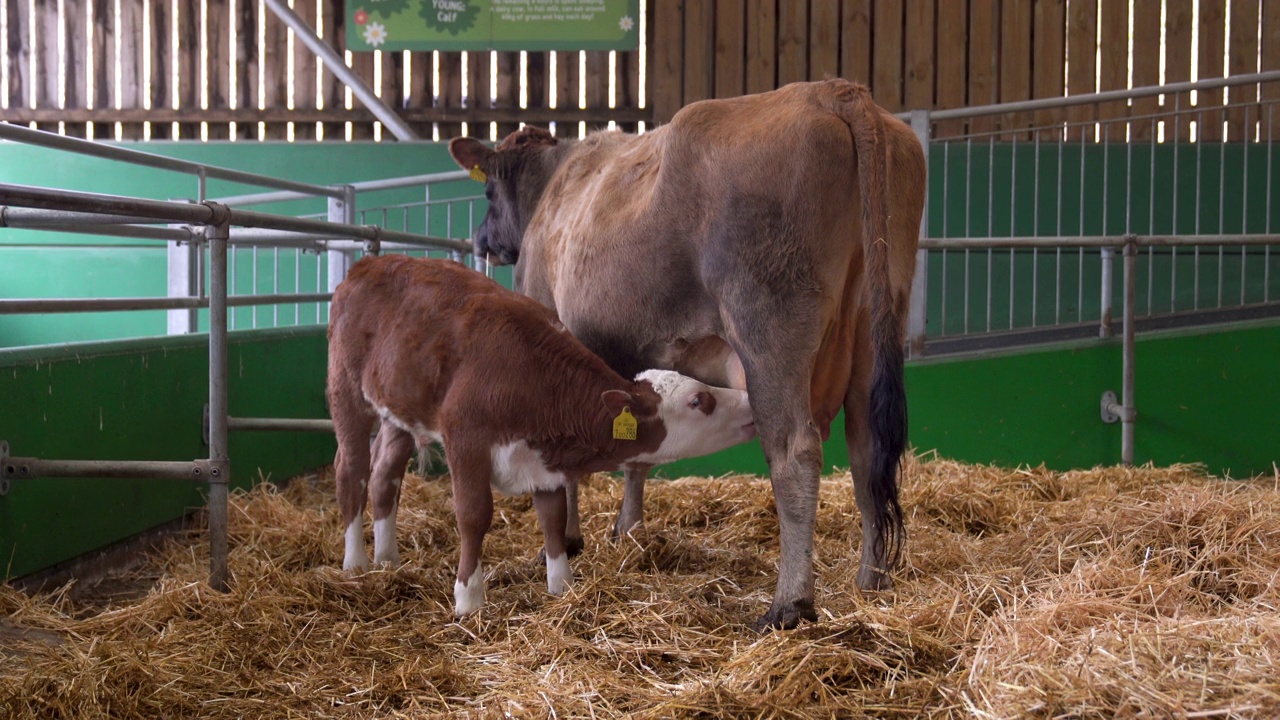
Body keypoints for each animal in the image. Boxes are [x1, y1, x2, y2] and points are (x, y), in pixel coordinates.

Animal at [325, 254, 757, 614]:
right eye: (699, 399)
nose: (749, 402)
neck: (532, 379)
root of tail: (367, 263)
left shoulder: (545, 460)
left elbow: (554, 517)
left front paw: (562, 585)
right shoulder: (465, 438)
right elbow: (474, 514)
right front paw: (468, 598)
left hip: (398, 412)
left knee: (385, 475)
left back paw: (387, 559)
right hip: (346, 391)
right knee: (351, 471)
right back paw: (355, 562)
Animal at [448, 79, 921, 627]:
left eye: (486, 191)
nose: (480, 239)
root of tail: (831, 90)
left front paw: (569, 540)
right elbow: (637, 451)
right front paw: (627, 531)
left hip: (767, 330)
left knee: (796, 451)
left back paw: (789, 603)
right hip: (876, 328)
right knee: (869, 454)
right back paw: (871, 582)